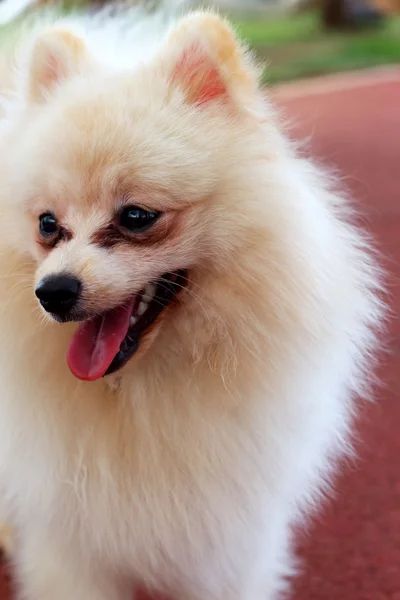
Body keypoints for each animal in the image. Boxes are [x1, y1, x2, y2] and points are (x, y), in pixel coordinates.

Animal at [0, 1, 384, 600]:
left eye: (136, 216)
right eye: (46, 224)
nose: (53, 291)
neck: (145, 391)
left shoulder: (224, 541)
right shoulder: (72, 545)